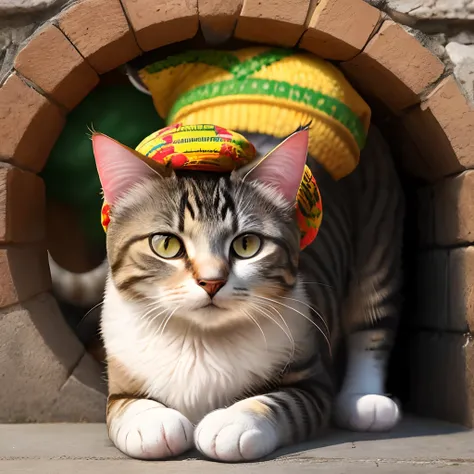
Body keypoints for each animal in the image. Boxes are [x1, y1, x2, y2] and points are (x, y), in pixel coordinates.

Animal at [48, 119, 404, 462]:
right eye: (166, 244)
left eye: (246, 244)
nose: (211, 281)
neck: (199, 341)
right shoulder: (121, 376)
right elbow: (125, 406)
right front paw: (153, 424)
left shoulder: (311, 379)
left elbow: (281, 402)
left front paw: (232, 422)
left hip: (380, 238)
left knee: (371, 323)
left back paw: (366, 401)